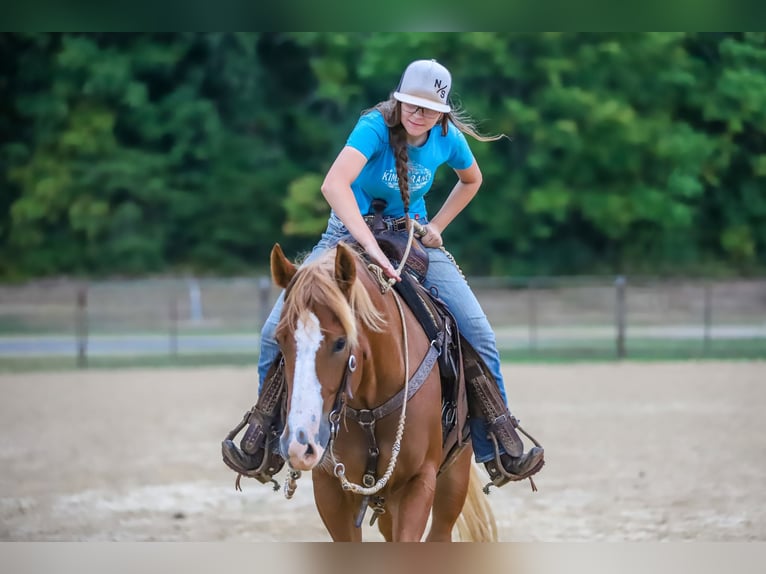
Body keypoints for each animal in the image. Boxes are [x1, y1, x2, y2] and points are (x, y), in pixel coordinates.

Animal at [270, 243, 498, 544]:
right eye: (280, 339)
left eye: (341, 342)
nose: (300, 443)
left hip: (454, 476)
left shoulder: (418, 482)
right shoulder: (329, 488)